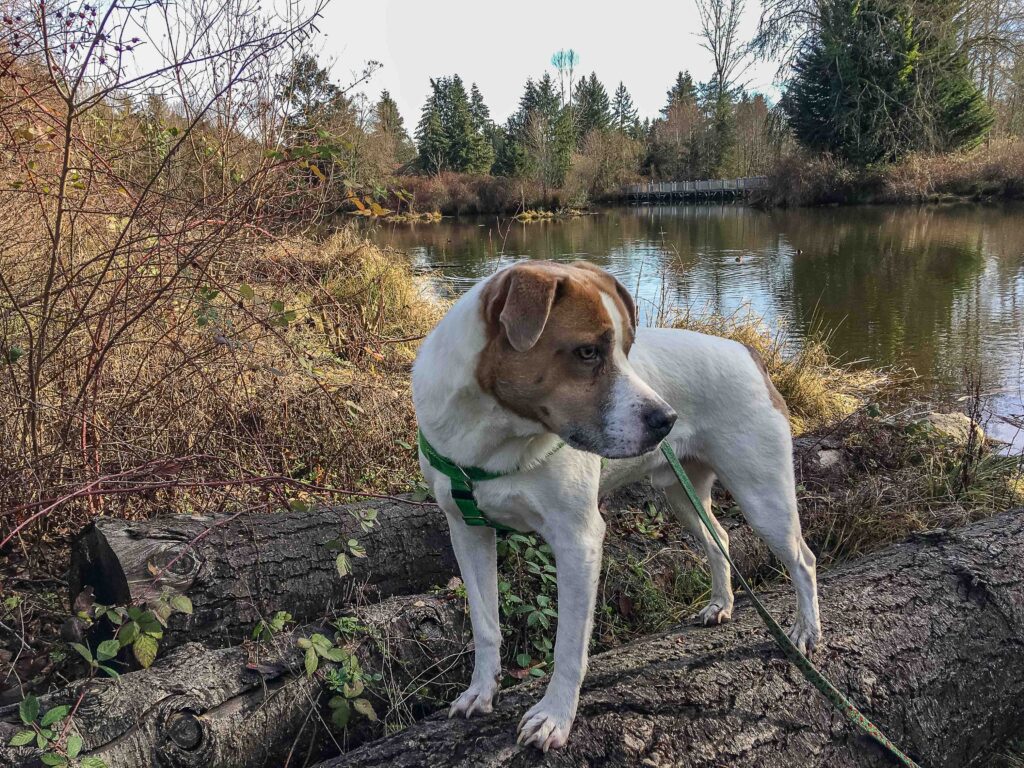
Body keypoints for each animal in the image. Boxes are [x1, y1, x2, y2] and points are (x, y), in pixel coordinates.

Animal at [411, 262, 819, 753]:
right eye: (588, 351)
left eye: (627, 350)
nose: (667, 420)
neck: (494, 436)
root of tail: (745, 351)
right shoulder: (467, 531)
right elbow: (485, 625)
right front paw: (479, 692)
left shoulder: (578, 540)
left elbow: (569, 644)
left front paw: (554, 717)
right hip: (682, 494)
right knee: (718, 537)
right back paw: (721, 604)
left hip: (763, 495)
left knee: (803, 559)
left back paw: (805, 633)